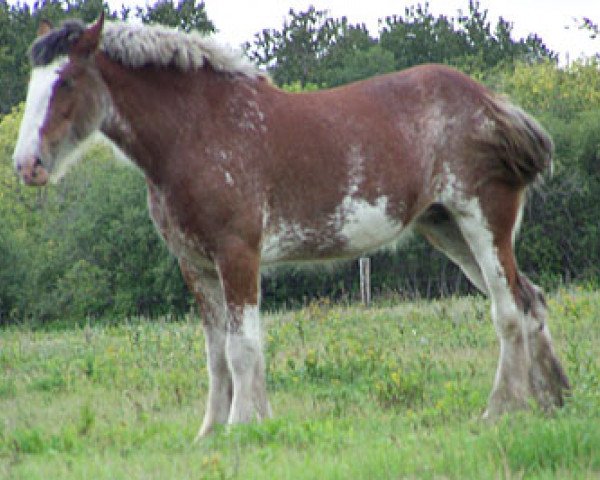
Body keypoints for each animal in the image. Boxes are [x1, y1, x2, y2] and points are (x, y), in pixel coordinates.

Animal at [12, 14, 568, 438]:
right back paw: (550, 400)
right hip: (446, 229)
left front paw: (241, 427)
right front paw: (214, 432)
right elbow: (217, 356)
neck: (196, 132)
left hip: (482, 221)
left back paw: (501, 410)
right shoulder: (195, 265)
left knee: (507, 311)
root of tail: (495, 106)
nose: (26, 165)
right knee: (529, 299)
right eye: (32, 83)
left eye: (64, 82)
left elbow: (242, 348)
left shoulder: (238, 254)